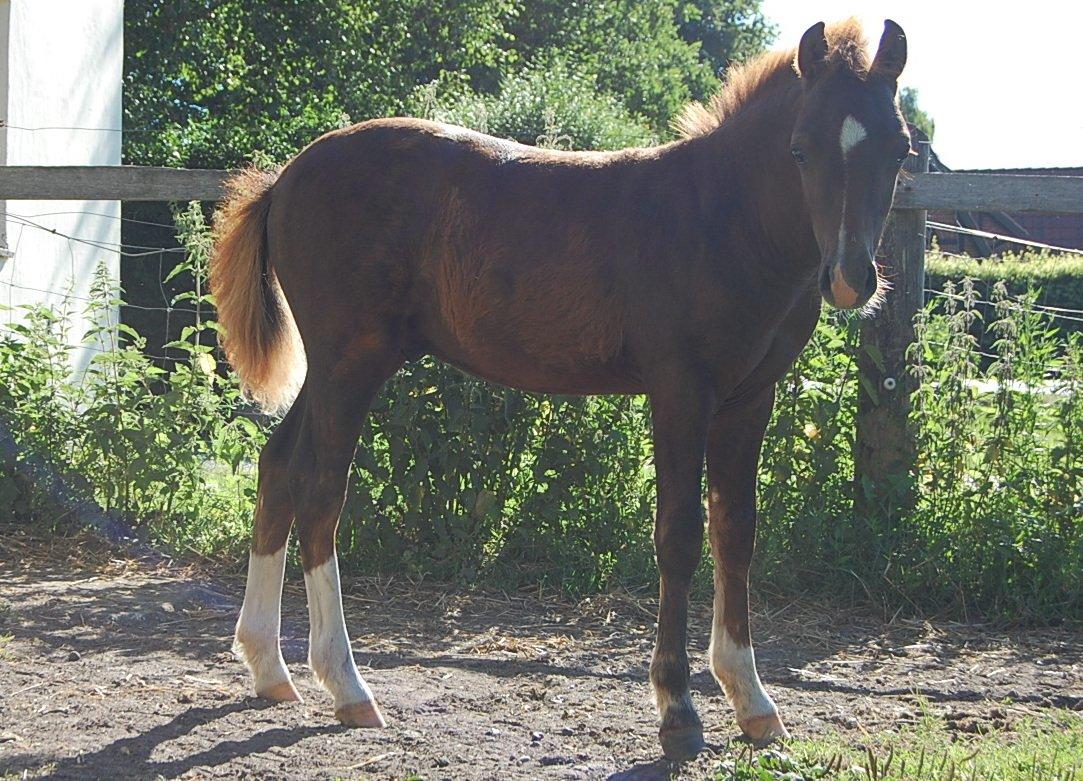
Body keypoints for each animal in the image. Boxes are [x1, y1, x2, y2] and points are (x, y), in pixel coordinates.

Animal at [211, 18, 910, 760]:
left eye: (899, 150)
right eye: (801, 149)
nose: (850, 279)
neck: (719, 219)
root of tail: (285, 177)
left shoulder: (749, 398)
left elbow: (736, 532)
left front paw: (752, 700)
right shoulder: (680, 389)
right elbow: (679, 535)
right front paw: (678, 710)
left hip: (333, 366)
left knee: (279, 467)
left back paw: (269, 667)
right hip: (351, 361)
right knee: (321, 493)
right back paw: (346, 685)